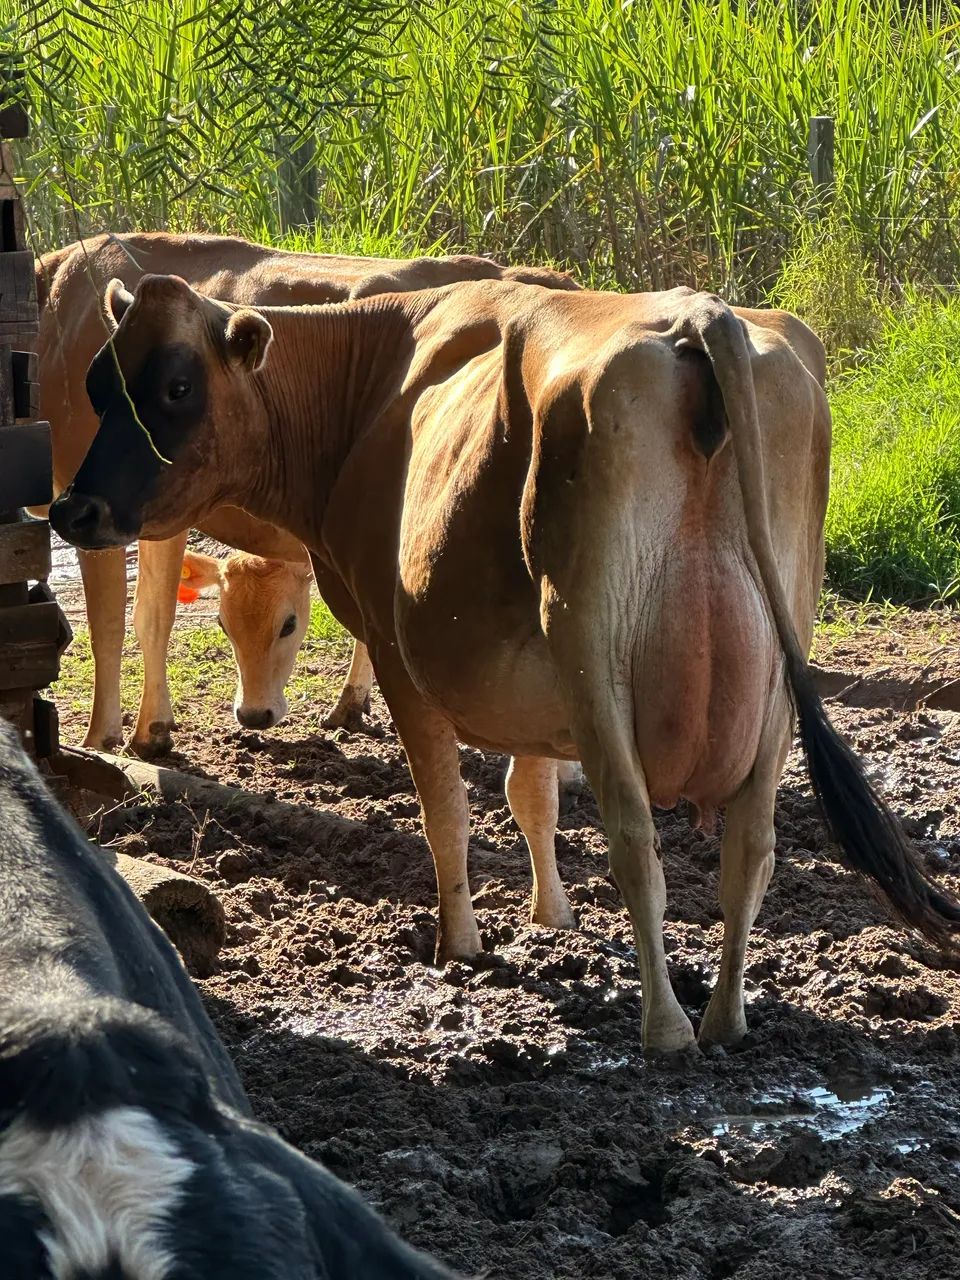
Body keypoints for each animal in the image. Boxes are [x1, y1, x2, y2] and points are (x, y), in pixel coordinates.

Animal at [50, 273, 960, 1055]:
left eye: (176, 388)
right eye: (97, 384)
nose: (72, 509)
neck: (368, 389)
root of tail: (699, 316)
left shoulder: (400, 655)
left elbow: (448, 814)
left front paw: (461, 945)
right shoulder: (531, 679)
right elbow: (532, 795)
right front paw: (551, 917)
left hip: (593, 642)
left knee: (635, 837)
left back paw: (665, 1026)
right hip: (774, 667)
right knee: (751, 845)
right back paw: (725, 1020)